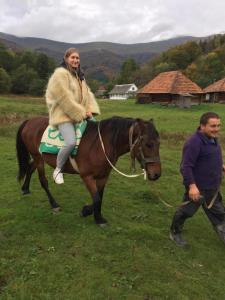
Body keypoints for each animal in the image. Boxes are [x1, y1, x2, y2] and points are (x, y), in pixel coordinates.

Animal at [15, 116, 161, 224]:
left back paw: (25, 188)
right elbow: (96, 198)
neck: (100, 144)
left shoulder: (103, 176)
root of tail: (30, 121)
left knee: (29, 169)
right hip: (38, 158)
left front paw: (98, 218)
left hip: (38, 157)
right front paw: (86, 211)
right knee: (43, 180)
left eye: (159, 143)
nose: (156, 174)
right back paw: (54, 204)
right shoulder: (87, 176)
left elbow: (100, 197)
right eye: (148, 144)